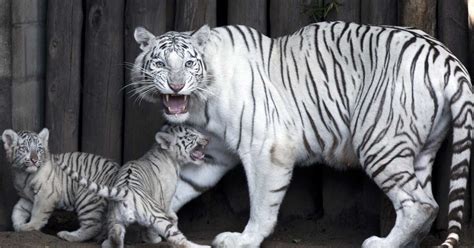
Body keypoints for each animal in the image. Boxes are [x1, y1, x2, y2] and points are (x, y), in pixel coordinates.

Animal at [131, 21, 474, 248]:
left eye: (189, 63)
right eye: (159, 63)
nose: (176, 86)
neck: (199, 103)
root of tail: (447, 57)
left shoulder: (266, 146)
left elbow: (262, 201)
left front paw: (244, 239)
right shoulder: (213, 155)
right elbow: (179, 189)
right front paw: (154, 223)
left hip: (379, 142)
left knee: (421, 204)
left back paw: (382, 244)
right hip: (423, 147)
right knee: (429, 201)